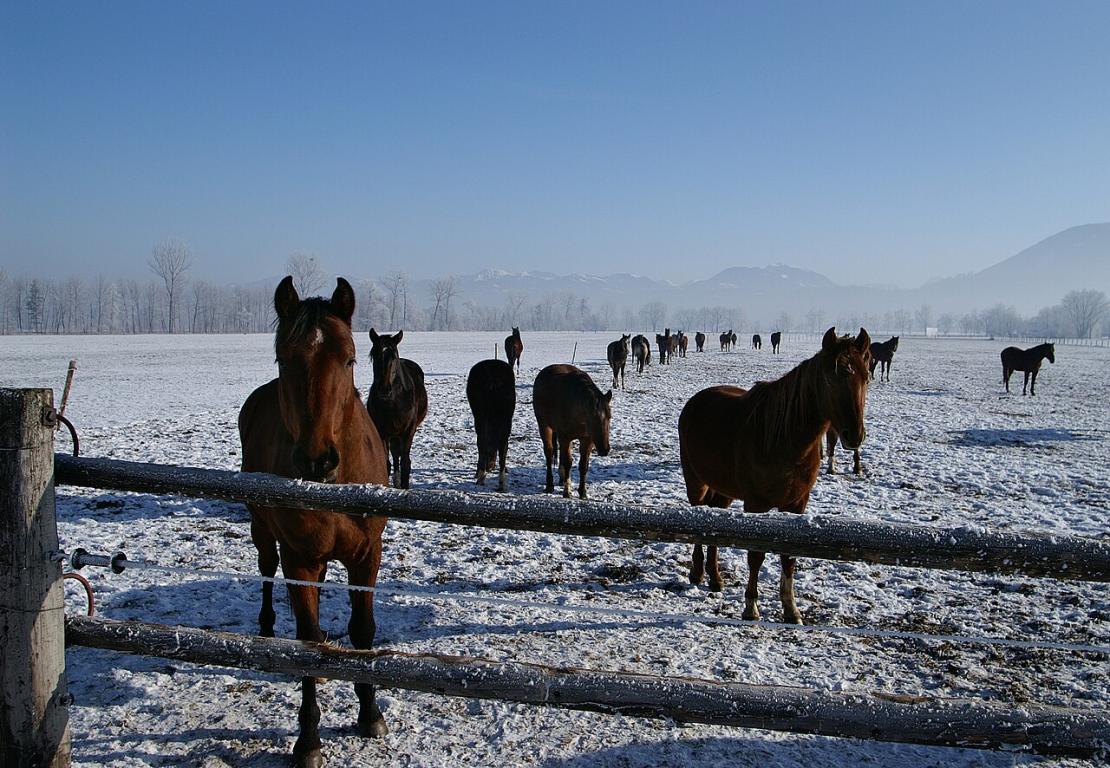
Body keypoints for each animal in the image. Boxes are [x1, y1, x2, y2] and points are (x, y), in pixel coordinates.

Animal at [239, 276, 390, 766]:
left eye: (349, 358)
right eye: (284, 359)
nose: (317, 460)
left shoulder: (366, 555)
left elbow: (363, 630)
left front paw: (370, 713)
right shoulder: (298, 557)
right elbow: (305, 642)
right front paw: (308, 740)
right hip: (264, 534)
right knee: (267, 573)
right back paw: (268, 629)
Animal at [367, 329, 428, 488]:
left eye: (393, 356)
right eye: (374, 355)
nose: (384, 389)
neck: (393, 403)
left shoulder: (408, 431)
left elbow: (406, 463)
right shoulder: (382, 431)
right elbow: (386, 463)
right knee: (395, 456)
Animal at [466, 358, 516, 491]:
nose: (490, 466)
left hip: (482, 418)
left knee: (485, 442)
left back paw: (483, 476)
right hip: (504, 420)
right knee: (501, 447)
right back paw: (499, 481)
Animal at [533, 364, 612, 499]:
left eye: (609, 417)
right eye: (592, 417)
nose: (604, 450)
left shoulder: (587, 439)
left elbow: (583, 464)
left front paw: (583, 492)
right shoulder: (565, 437)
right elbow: (568, 462)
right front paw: (567, 491)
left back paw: (562, 478)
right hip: (544, 425)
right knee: (549, 453)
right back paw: (550, 484)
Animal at [678, 327, 872, 624]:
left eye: (865, 376)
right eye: (832, 377)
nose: (854, 435)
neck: (785, 439)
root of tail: (695, 401)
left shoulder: (797, 505)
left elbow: (788, 556)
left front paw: (791, 610)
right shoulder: (756, 504)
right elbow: (756, 555)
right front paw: (751, 607)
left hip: (723, 491)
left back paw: (715, 577)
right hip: (696, 483)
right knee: (699, 518)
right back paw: (698, 573)